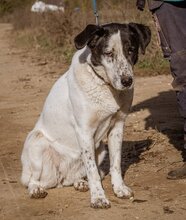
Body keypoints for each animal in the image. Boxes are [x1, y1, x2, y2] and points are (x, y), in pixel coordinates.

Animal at [20, 22, 151, 208]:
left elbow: (115, 164)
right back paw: (36, 189)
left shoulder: (117, 127)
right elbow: (93, 171)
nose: (127, 81)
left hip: (101, 149)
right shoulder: (84, 131)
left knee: (75, 177)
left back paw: (80, 183)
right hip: (36, 142)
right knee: (32, 179)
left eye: (131, 50)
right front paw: (98, 197)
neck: (105, 86)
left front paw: (119, 189)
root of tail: (60, 178)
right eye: (108, 53)